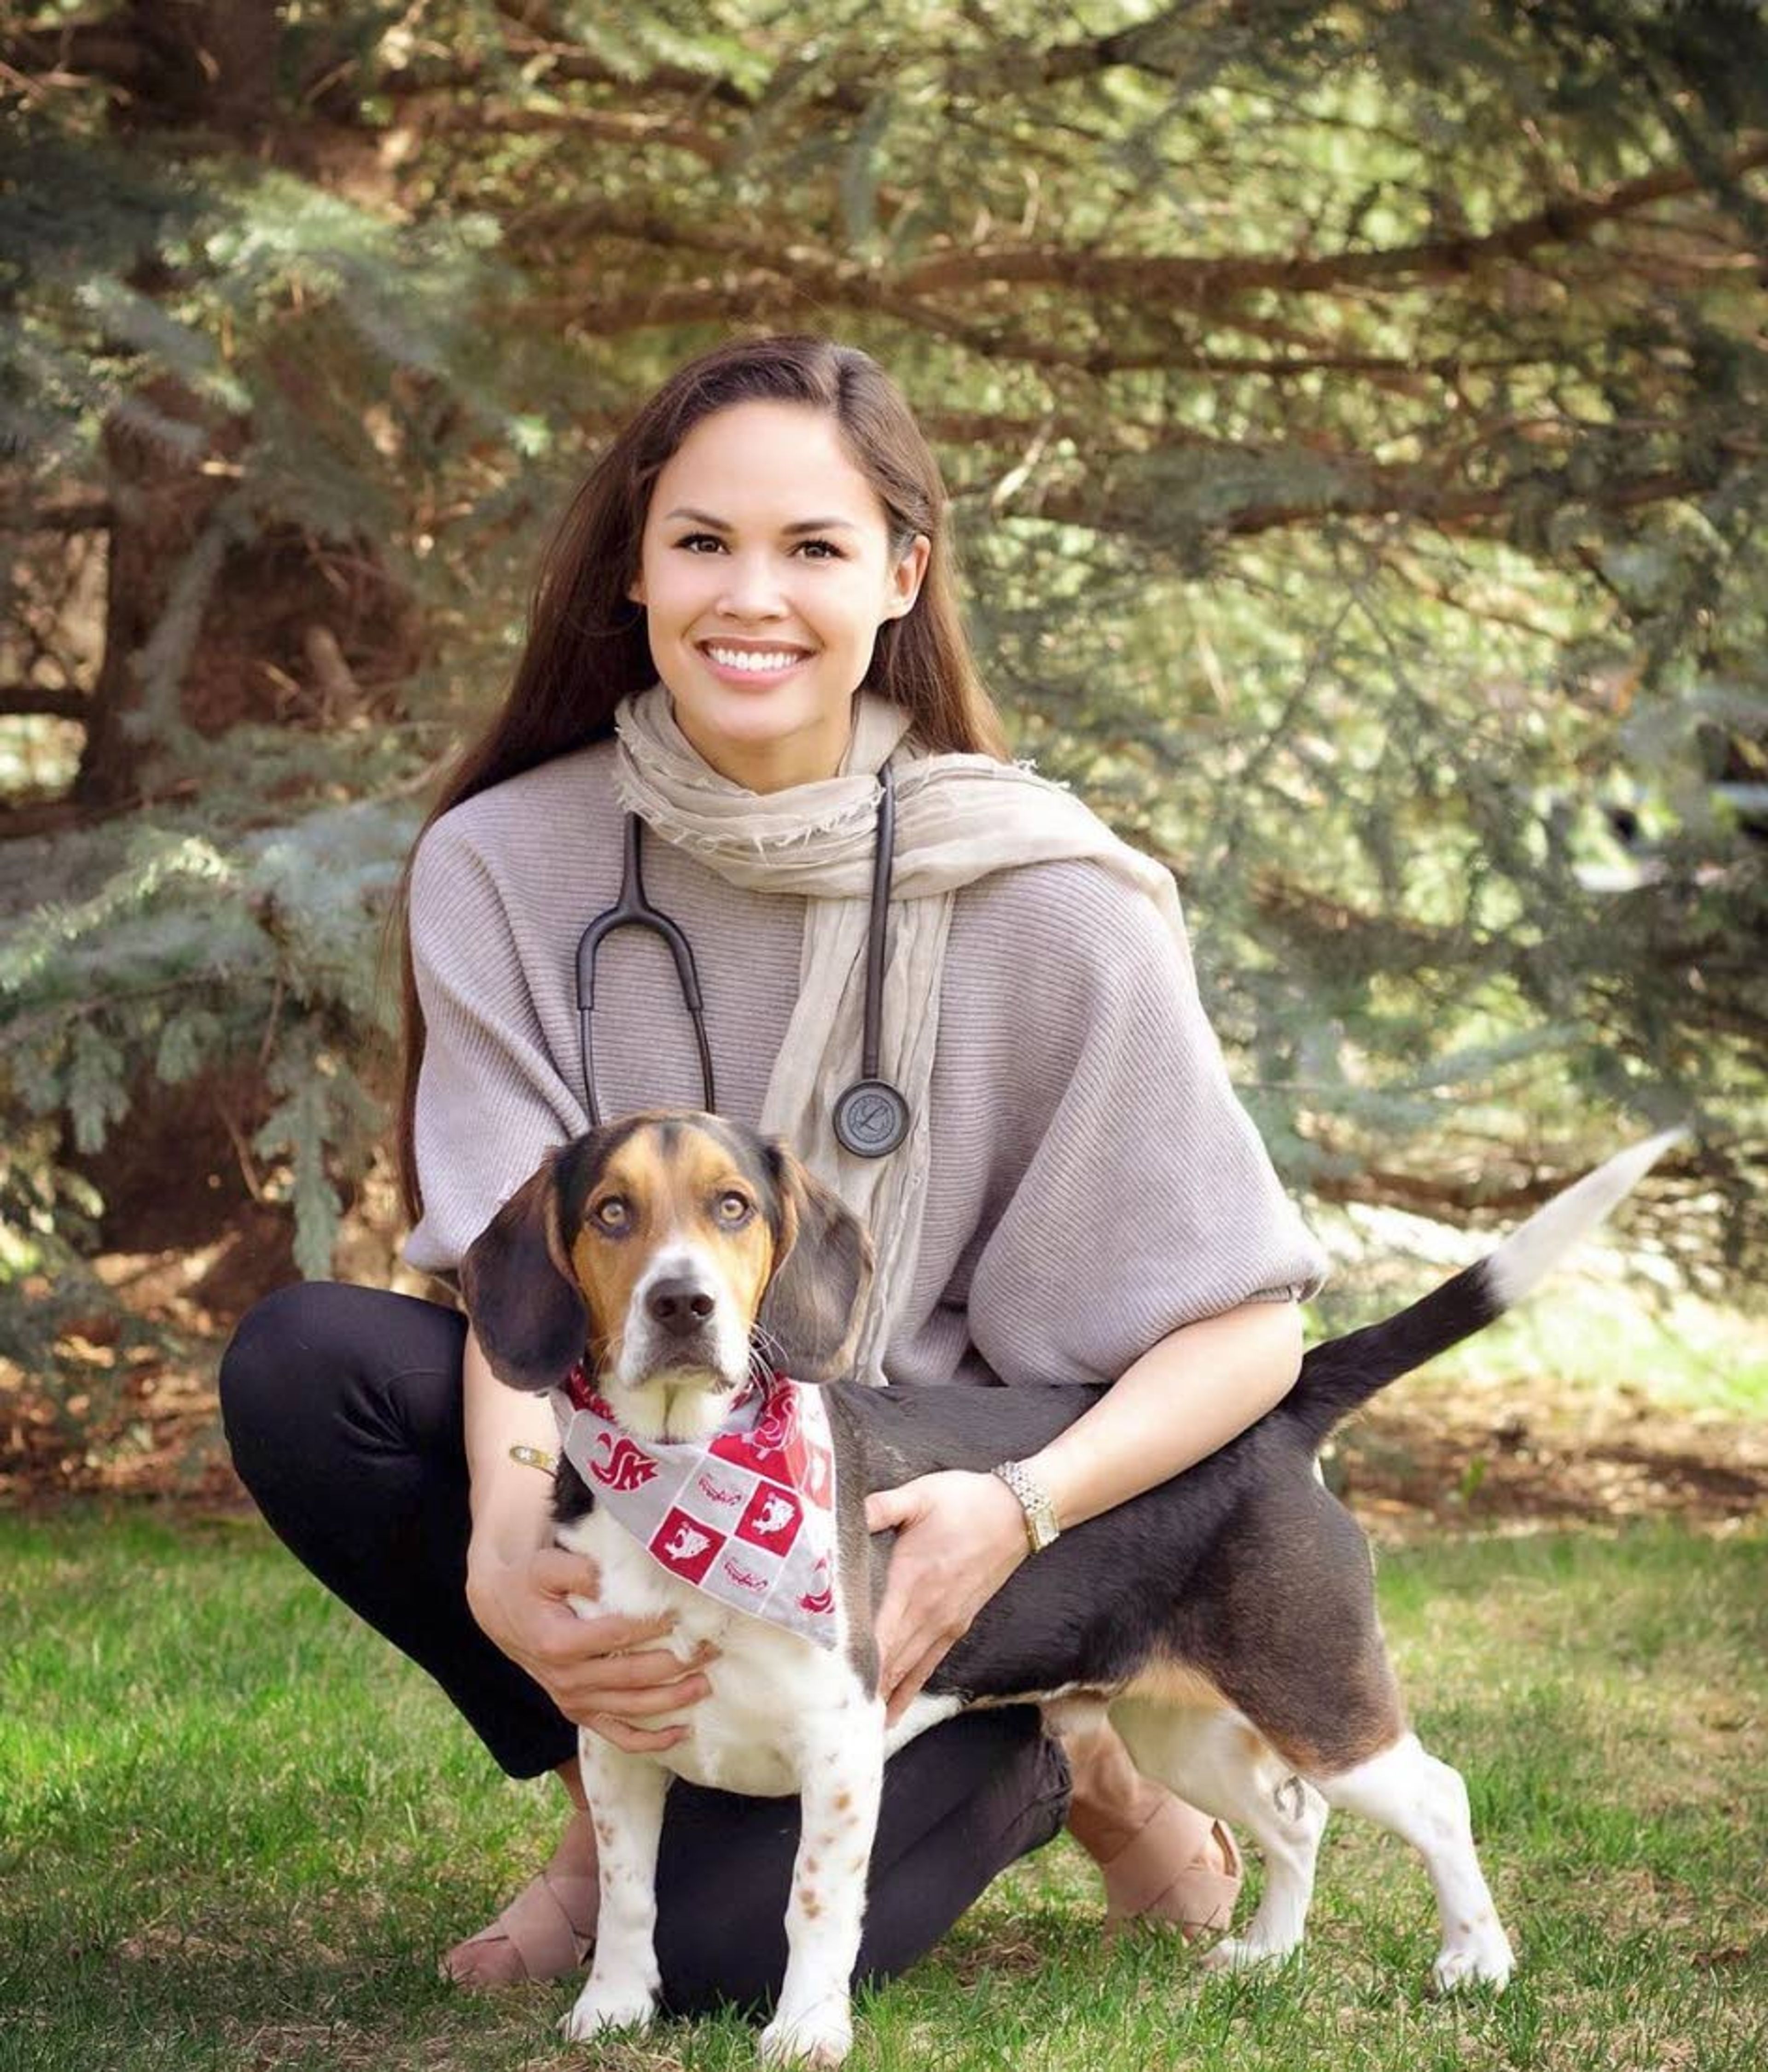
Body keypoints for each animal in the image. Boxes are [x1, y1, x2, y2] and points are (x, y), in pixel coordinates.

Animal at [464, 1110, 1681, 2064]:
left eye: (730, 1206)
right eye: (611, 1213)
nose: (683, 1304)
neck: (683, 1467)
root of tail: (1278, 1411)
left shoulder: (839, 1745)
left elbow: (813, 1901)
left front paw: (808, 2028)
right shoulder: (618, 1738)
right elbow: (628, 1890)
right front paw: (613, 2007)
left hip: (1316, 1686)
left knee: (1434, 1794)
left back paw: (1475, 1958)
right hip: (1176, 1724)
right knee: (1295, 1819)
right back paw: (1267, 1953)